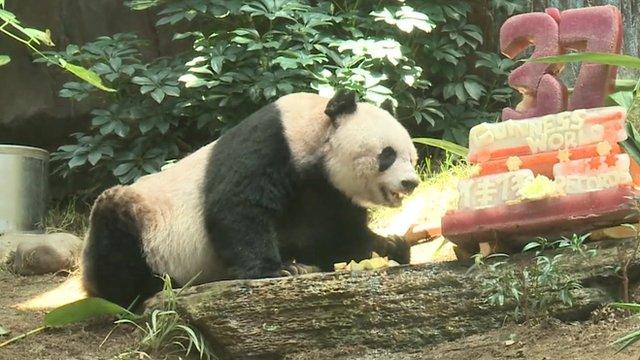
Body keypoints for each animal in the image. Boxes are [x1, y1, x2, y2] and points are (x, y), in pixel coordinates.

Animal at [80, 90, 420, 306]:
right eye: (387, 155)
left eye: (412, 158)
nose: (411, 182)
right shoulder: (270, 142)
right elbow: (238, 207)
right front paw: (278, 269)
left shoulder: (326, 191)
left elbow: (332, 233)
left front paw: (390, 245)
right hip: (145, 223)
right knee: (115, 241)